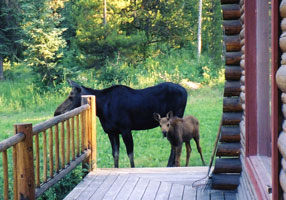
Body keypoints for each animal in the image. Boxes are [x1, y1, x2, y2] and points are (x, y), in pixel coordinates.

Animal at [54, 80, 188, 168]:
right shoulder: (111, 132)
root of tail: (186, 91)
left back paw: (170, 164)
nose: (57, 112)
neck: (101, 109)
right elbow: (115, 154)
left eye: (71, 96)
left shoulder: (125, 129)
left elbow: (130, 153)